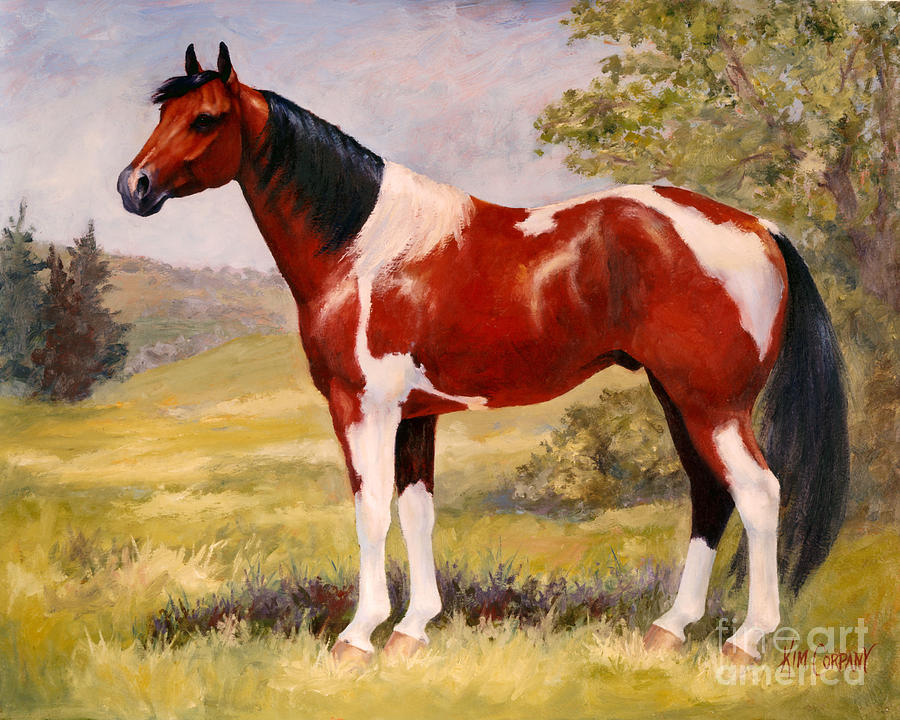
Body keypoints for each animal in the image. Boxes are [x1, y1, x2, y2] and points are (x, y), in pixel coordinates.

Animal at [118, 43, 849, 666]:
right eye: (162, 114)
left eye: (206, 118)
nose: (134, 186)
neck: (361, 244)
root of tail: (760, 227)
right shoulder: (415, 415)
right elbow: (417, 512)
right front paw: (412, 630)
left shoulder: (364, 407)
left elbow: (371, 511)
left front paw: (359, 637)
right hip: (679, 399)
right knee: (709, 495)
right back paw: (669, 630)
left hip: (713, 406)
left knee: (758, 495)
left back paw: (747, 640)